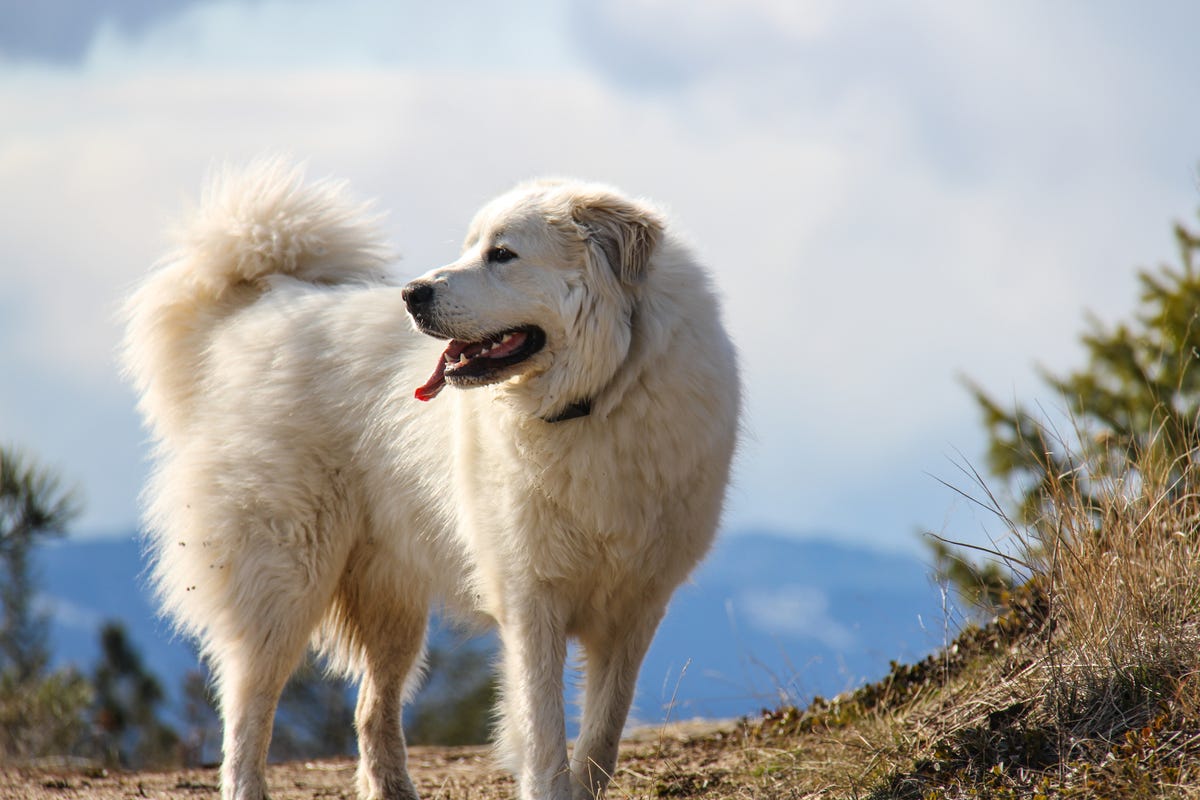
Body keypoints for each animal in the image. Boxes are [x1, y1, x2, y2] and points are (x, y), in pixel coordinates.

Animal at [121, 163, 739, 800]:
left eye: (502, 254)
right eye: (471, 247)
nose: (411, 294)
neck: (596, 399)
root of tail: (262, 307)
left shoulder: (635, 606)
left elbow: (601, 736)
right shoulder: (530, 599)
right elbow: (543, 732)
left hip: (391, 601)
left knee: (371, 708)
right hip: (284, 579)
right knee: (248, 710)